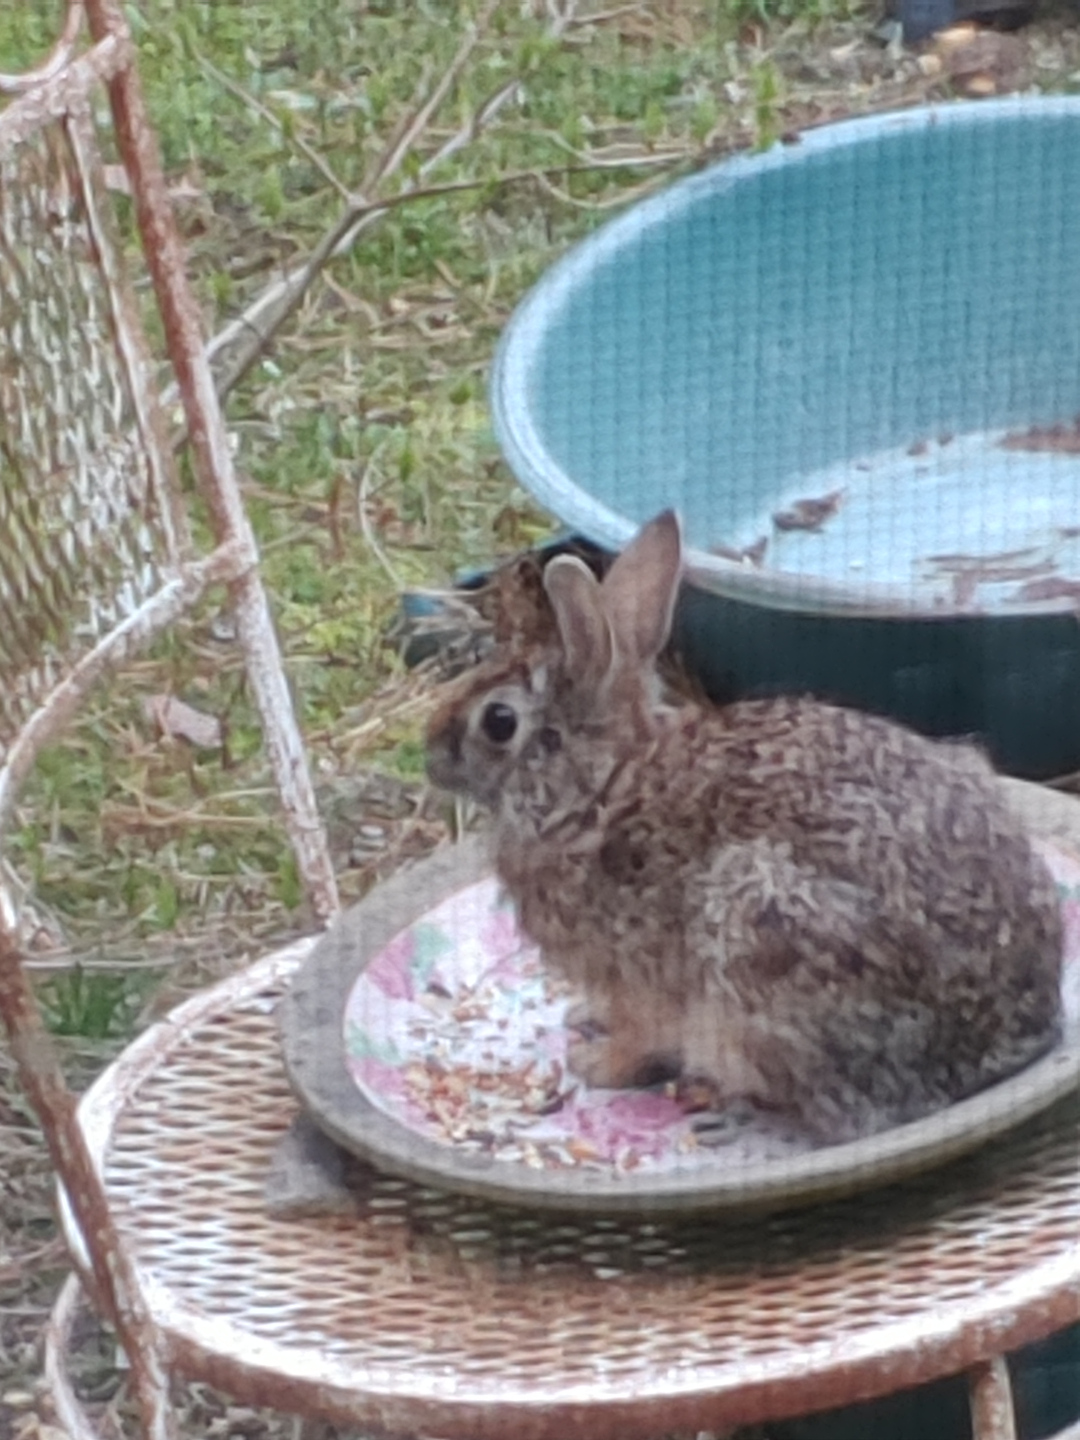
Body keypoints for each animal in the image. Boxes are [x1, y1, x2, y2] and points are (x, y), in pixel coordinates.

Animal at [426, 512, 1065, 1140]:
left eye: (499, 721)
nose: (429, 752)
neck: (597, 790)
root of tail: (1006, 1039)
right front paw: (585, 1018)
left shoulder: (638, 978)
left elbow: (640, 1038)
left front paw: (595, 1064)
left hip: (760, 928)